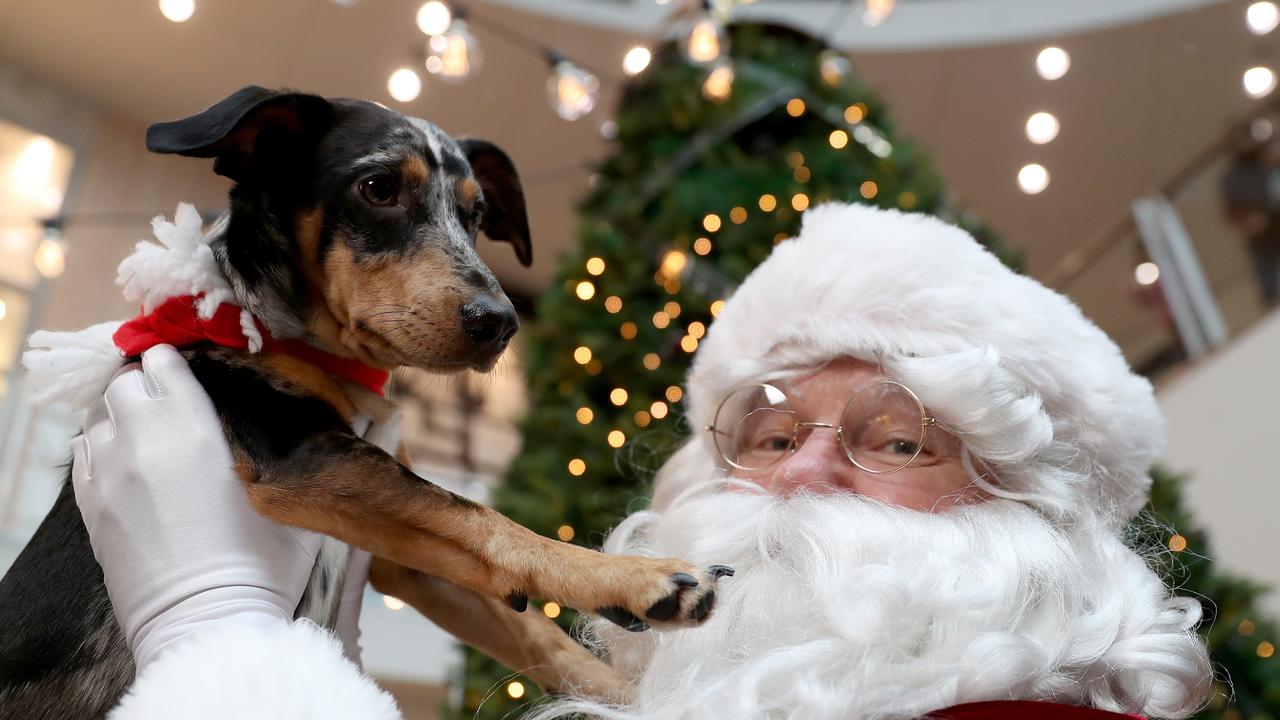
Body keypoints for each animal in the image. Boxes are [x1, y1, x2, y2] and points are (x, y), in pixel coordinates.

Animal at [0, 87, 727, 712]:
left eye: (477, 216)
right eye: (378, 188)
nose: (501, 322)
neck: (320, 353)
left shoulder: (400, 560)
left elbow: (530, 623)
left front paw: (633, 694)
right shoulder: (299, 457)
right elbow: (483, 516)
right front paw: (636, 576)